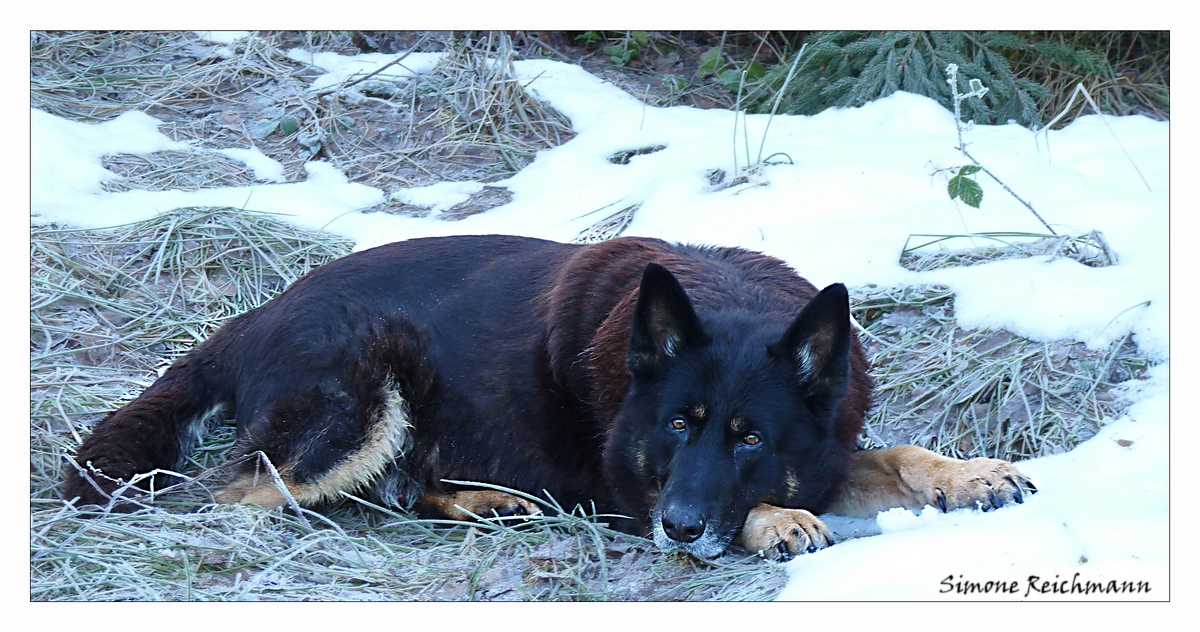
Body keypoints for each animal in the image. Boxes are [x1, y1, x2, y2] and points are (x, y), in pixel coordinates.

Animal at [65, 236, 1036, 558]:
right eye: (676, 424)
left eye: (752, 437)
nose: (683, 527)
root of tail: (253, 315)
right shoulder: (630, 490)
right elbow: (722, 504)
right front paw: (774, 524)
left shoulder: (827, 450)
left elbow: (899, 456)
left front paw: (971, 475)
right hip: (360, 395)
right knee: (236, 494)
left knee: (406, 486)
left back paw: (491, 503)